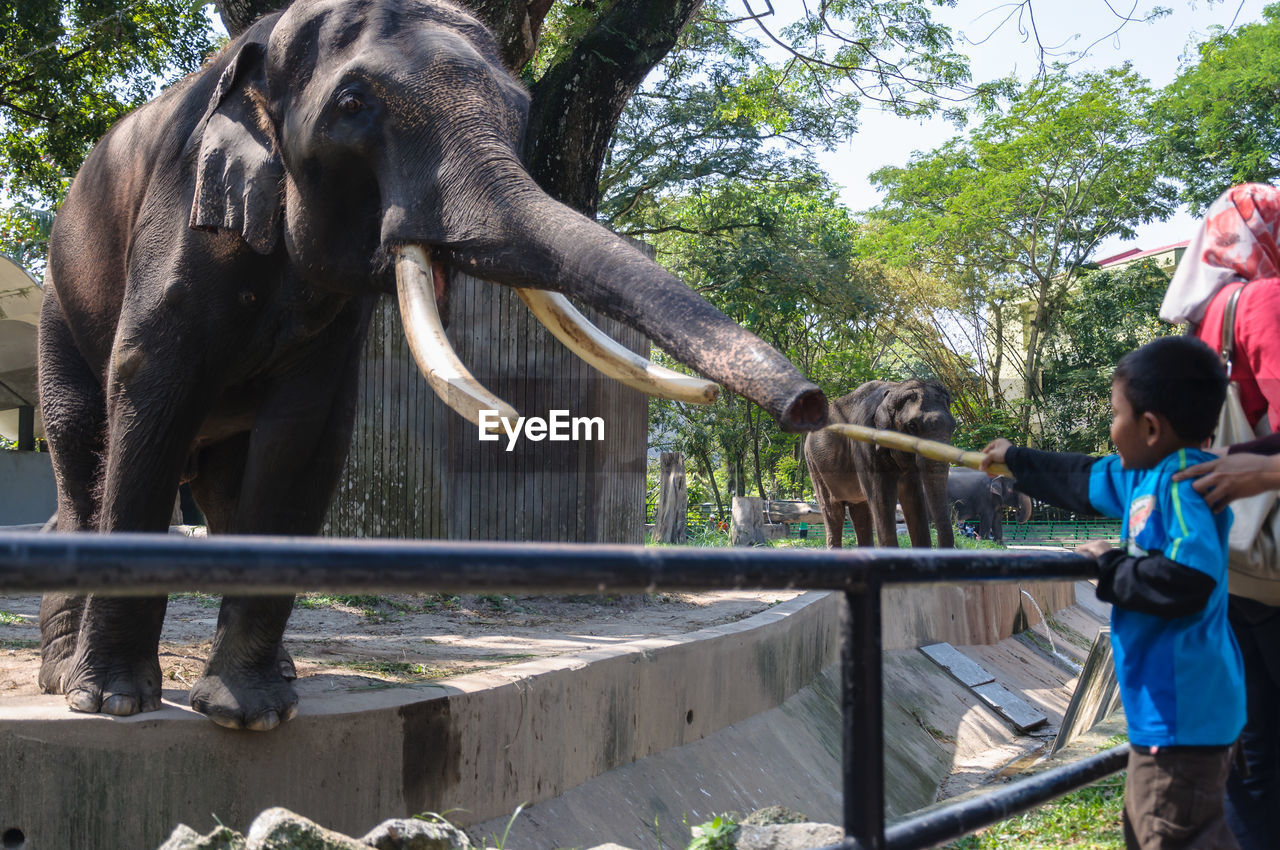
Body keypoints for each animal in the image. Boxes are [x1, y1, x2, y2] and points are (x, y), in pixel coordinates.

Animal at [37, 0, 829, 732]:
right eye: (352, 106)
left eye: (519, 110)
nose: (811, 405)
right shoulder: (181, 220)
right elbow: (151, 398)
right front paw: (114, 704)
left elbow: (304, 435)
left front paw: (251, 714)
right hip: (58, 309)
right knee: (83, 449)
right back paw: (64, 674)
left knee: (225, 483)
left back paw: (276, 672)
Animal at [803, 378, 957, 550]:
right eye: (912, 425)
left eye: (953, 426)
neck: (895, 390)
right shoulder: (865, 444)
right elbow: (881, 497)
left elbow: (914, 496)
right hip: (813, 463)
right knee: (833, 510)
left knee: (860, 511)